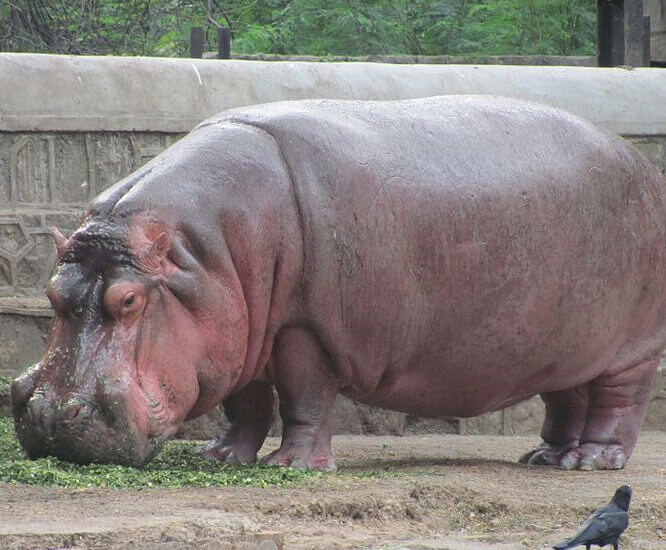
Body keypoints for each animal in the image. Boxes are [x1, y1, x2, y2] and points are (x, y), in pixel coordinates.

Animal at [11, 95, 665, 471]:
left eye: (128, 300)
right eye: (51, 294)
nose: (47, 415)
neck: (199, 257)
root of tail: (640, 163)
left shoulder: (302, 330)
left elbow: (303, 397)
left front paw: (291, 467)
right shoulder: (241, 330)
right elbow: (247, 403)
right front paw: (221, 458)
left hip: (631, 345)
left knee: (618, 401)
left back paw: (593, 462)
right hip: (568, 344)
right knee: (568, 397)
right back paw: (546, 457)